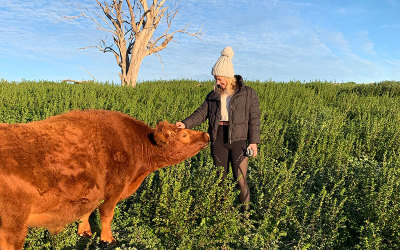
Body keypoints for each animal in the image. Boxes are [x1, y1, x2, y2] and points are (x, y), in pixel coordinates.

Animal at [0, 110, 211, 249]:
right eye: (184, 135)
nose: (206, 134)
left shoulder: (93, 190)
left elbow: (87, 211)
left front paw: (84, 232)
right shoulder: (115, 188)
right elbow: (106, 214)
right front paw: (108, 239)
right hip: (13, 227)